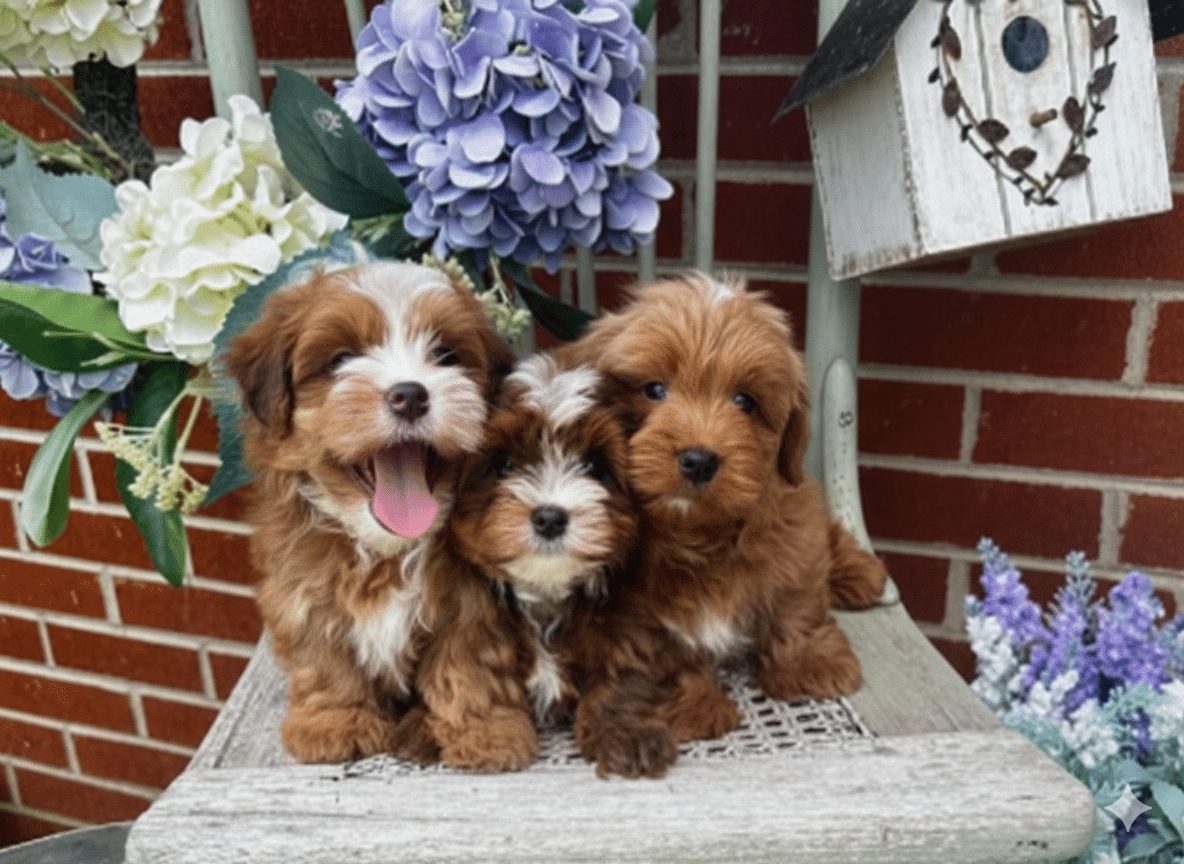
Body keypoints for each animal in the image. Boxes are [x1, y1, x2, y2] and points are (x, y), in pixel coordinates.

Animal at [223, 259, 514, 763]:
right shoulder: (302, 588)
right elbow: (323, 658)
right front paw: (333, 721)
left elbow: (467, 663)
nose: (410, 394)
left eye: (445, 355)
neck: (386, 549)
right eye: (341, 360)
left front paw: (483, 732)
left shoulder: (472, 603)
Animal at [410, 352, 640, 771]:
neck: (544, 593)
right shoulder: (473, 623)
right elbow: (471, 676)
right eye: (503, 464)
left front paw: (619, 734)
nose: (549, 518)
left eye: (595, 467)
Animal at [560, 272, 888, 778]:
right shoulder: (636, 611)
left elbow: (795, 604)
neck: (697, 532)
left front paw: (809, 664)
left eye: (744, 401)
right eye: (653, 390)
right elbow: (667, 654)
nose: (699, 459)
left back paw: (860, 572)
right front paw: (694, 706)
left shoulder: (791, 536)